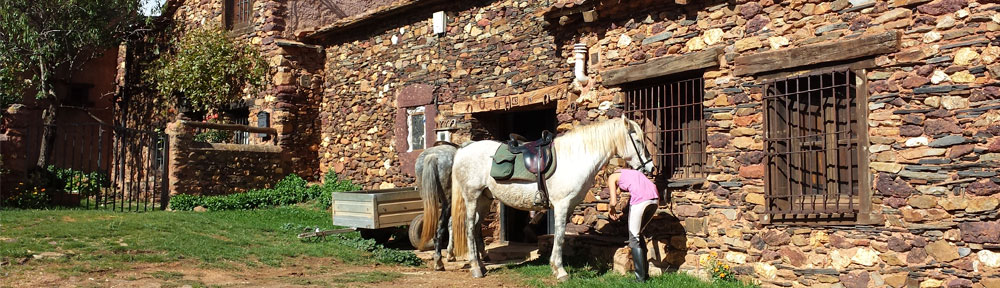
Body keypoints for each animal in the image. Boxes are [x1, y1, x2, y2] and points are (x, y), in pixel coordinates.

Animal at [452, 116, 656, 280]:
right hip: (472, 197)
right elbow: (559, 236)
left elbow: (561, 236)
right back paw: (476, 269)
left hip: (484, 200)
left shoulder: (569, 206)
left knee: (476, 228)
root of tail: (464, 149)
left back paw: (482, 266)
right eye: (638, 140)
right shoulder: (561, 205)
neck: (575, 158)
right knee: (469, 228)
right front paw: (560, 271)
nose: (651, 167)